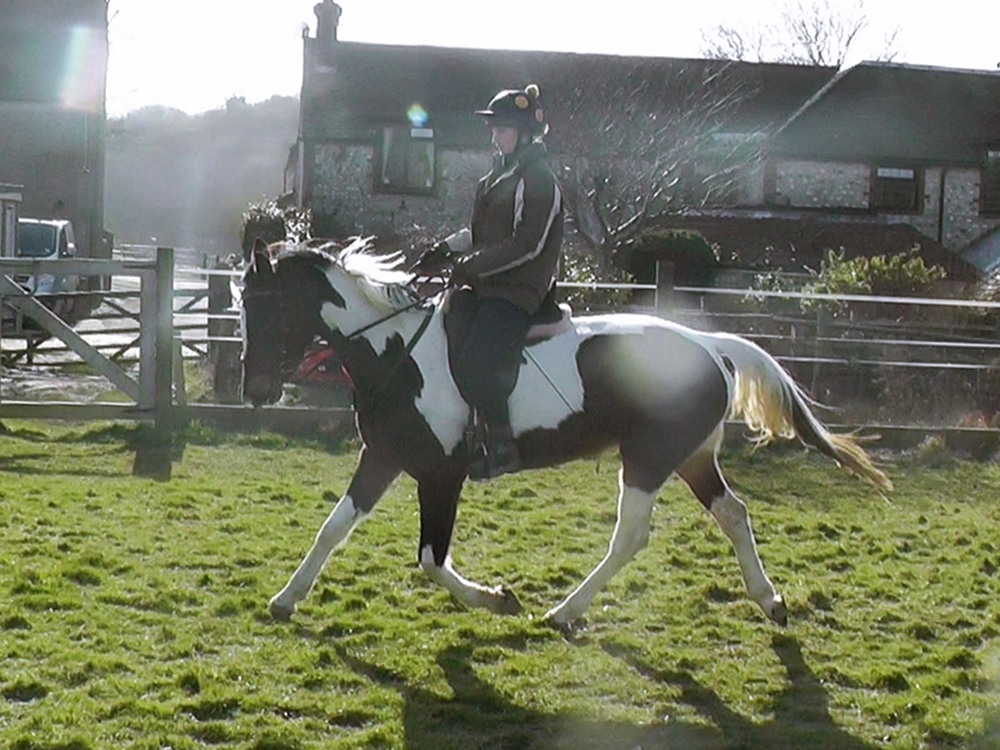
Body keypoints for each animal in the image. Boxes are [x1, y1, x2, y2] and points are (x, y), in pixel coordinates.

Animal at [240, 237, 891, 630]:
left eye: (264, 306)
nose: (254, 391)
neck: (397, 351)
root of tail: (709, 345)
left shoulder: (441, 474)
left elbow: (431, 560)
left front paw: (497, 598)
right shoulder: (384, 457)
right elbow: (332, 529)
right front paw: (286, 598)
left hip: (648, 458)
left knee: (630, 537)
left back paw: (563, 610)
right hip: (690, 458)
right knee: (734, 514)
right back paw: (769, 599)